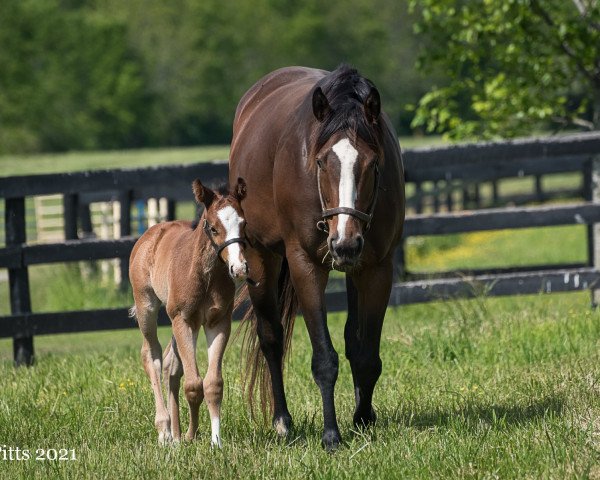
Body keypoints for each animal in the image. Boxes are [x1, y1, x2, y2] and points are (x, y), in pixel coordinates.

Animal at [129, 179, 248, 446]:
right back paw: (165, 431)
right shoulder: (183, 320)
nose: (239, 268)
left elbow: (213, 384)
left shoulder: (218, 322)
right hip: (147, 307)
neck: (206, 276)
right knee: (151, 356)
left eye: (243, 224)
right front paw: (191, 436)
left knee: (171, 365)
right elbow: (194, 385)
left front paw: (215, 441)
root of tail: (152, 233)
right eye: (213, 228)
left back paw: (175, 434)